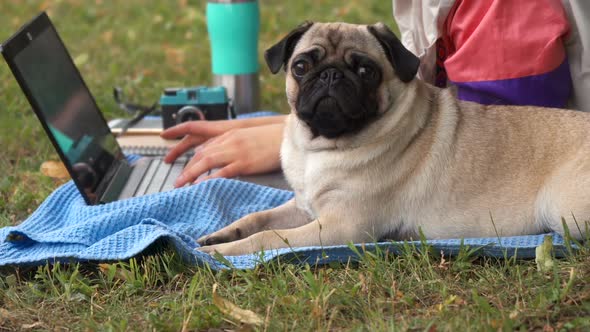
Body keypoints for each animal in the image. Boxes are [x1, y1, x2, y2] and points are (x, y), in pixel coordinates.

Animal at [198, 22, 590, 255]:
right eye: (301, 66)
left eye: (365, 70)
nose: (330, 75)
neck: (321, 148)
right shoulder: (304, 206)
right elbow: (258, 218)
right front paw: (222, 235)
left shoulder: (342, 226)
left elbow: (267, 238)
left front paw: (217, 254)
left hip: (564, 209)